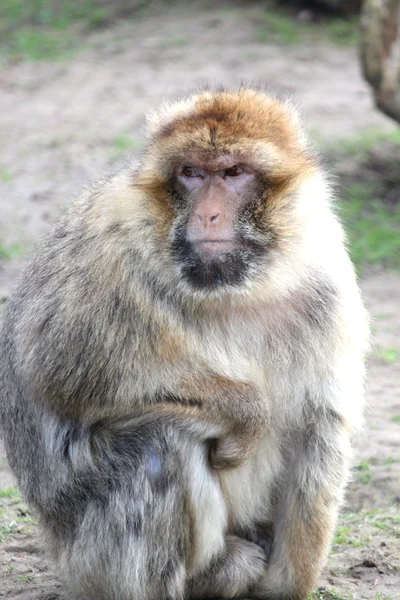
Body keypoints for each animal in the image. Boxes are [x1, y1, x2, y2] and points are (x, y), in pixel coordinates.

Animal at [0, 88, 368, 600]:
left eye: (234, 172)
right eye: (191, 173)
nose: (208, 214)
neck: (233, 288)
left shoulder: (324, 280)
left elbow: (320, 426)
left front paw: (287, 587)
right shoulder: (105, 247)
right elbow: (59, 366)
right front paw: (248, 412)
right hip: (88, 562)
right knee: (161, 446)